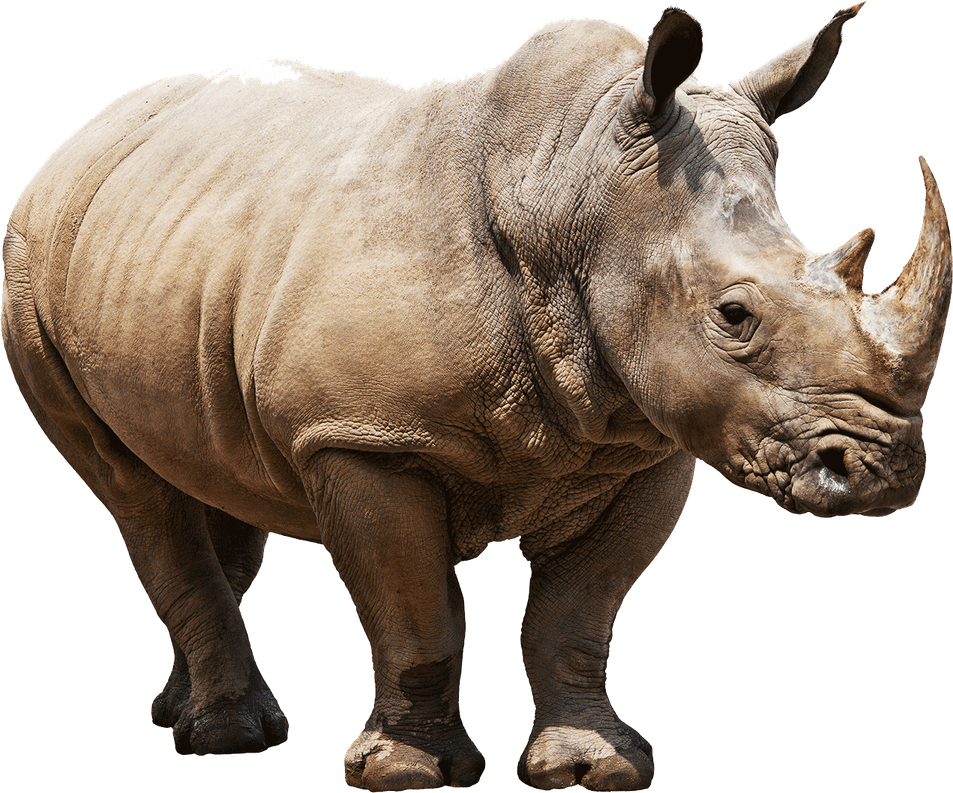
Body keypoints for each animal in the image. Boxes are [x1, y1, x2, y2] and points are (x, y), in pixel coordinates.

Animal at [2, 1, 950, 790]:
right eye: (733, 315)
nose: (882, 472)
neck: (574, 191)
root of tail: (87, 133)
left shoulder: (649, 442)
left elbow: (577, 612)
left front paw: (593, 767)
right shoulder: (362, 435)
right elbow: (416, 611)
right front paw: (407, 772)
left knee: (210, 472)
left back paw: (181, 711)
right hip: (27, 264)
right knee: (132, 489)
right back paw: (229, 736)